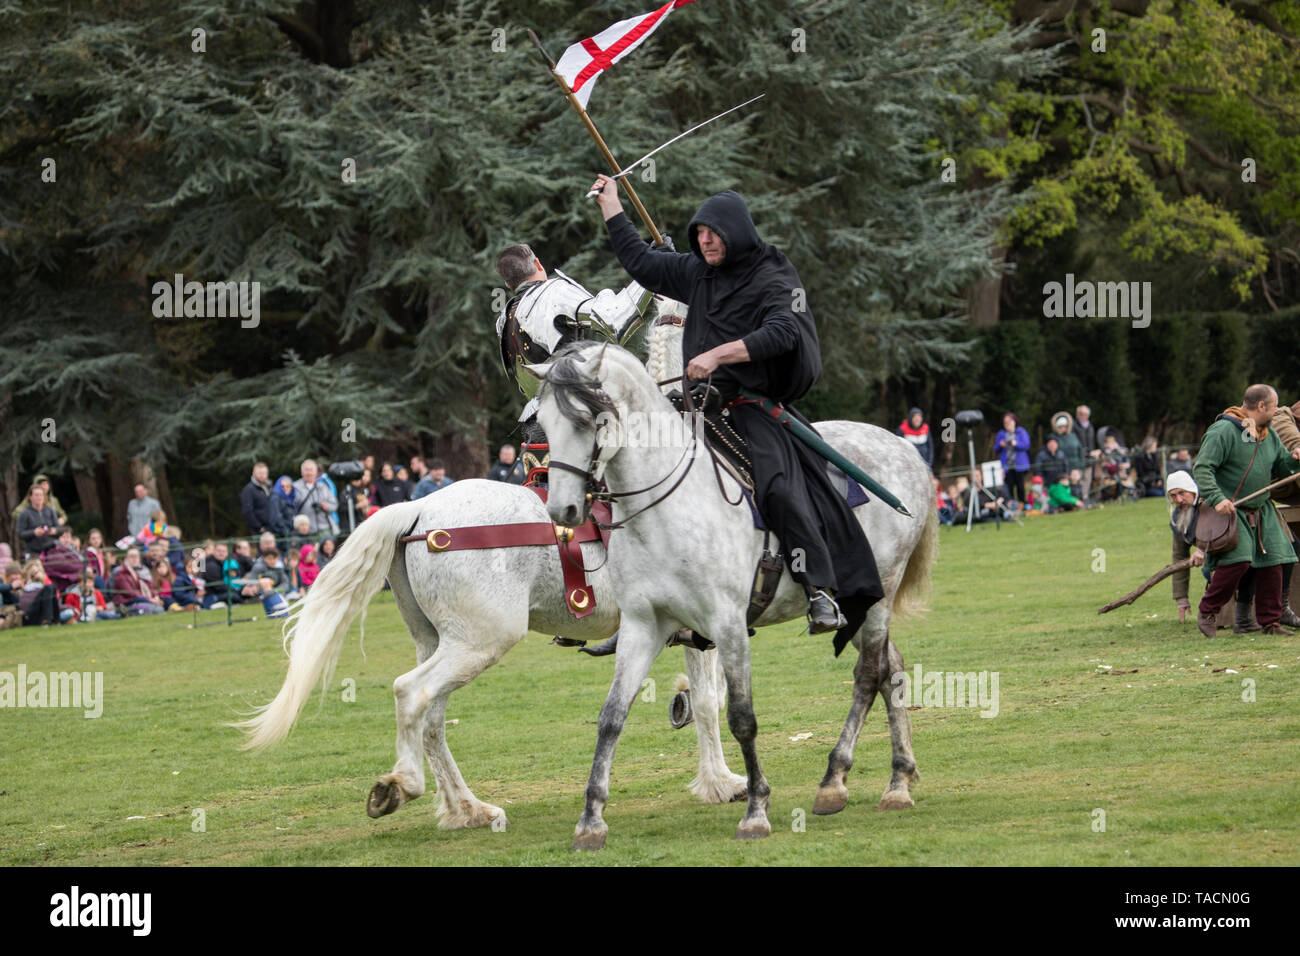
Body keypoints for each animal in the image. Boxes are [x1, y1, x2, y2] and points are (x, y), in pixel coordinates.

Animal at [533, 340, 941, 848]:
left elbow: (742, 717)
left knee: (869, 676)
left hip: (879, 594)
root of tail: (905, 449)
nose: (563, 511)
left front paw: (756, 810)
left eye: (591, 420)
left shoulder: (727, 626)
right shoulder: (644, 627)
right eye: (545, 422)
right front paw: (591, 820)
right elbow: (611, 717)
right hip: (862, 603)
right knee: (892, 669)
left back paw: (835, 781)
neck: (666, 509)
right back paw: (898, 780)